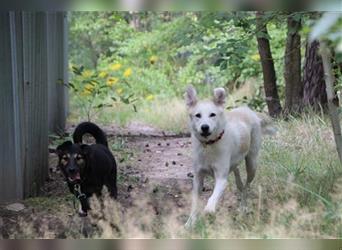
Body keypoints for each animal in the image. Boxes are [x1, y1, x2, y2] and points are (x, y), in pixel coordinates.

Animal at [184, 85, 276, 227]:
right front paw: (190, 223)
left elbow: (213, 197)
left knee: (246, 186)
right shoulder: (198, 177)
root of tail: (249, 111)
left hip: (252, 164)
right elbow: (194, 202)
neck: (209, 145)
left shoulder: (221, 178)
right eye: (197, 115)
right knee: (237, 174)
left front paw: (209, 209)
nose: (205, 127)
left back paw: (243, 206)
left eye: (212, 114)